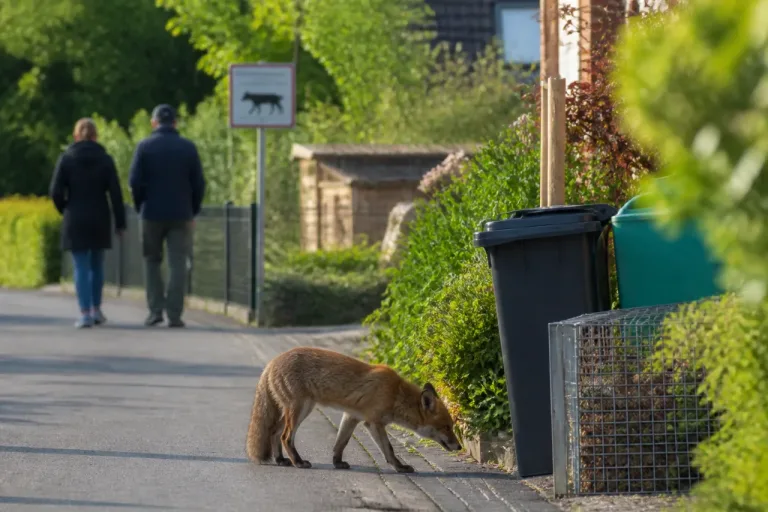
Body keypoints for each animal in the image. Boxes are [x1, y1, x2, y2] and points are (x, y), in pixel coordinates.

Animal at [245, 346, 462, 473]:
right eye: (446, 427)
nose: (459, 447)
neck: (395, 394)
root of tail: (272, 362)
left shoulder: (352, 416)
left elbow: (340, 443)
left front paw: (337, 463)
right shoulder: (373, 422)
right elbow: (389, 449)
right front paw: (400, 467)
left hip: (292, 411)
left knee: (274, 432)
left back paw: (281, 460)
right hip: (301, 409)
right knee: (285, 437)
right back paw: (298, 462)